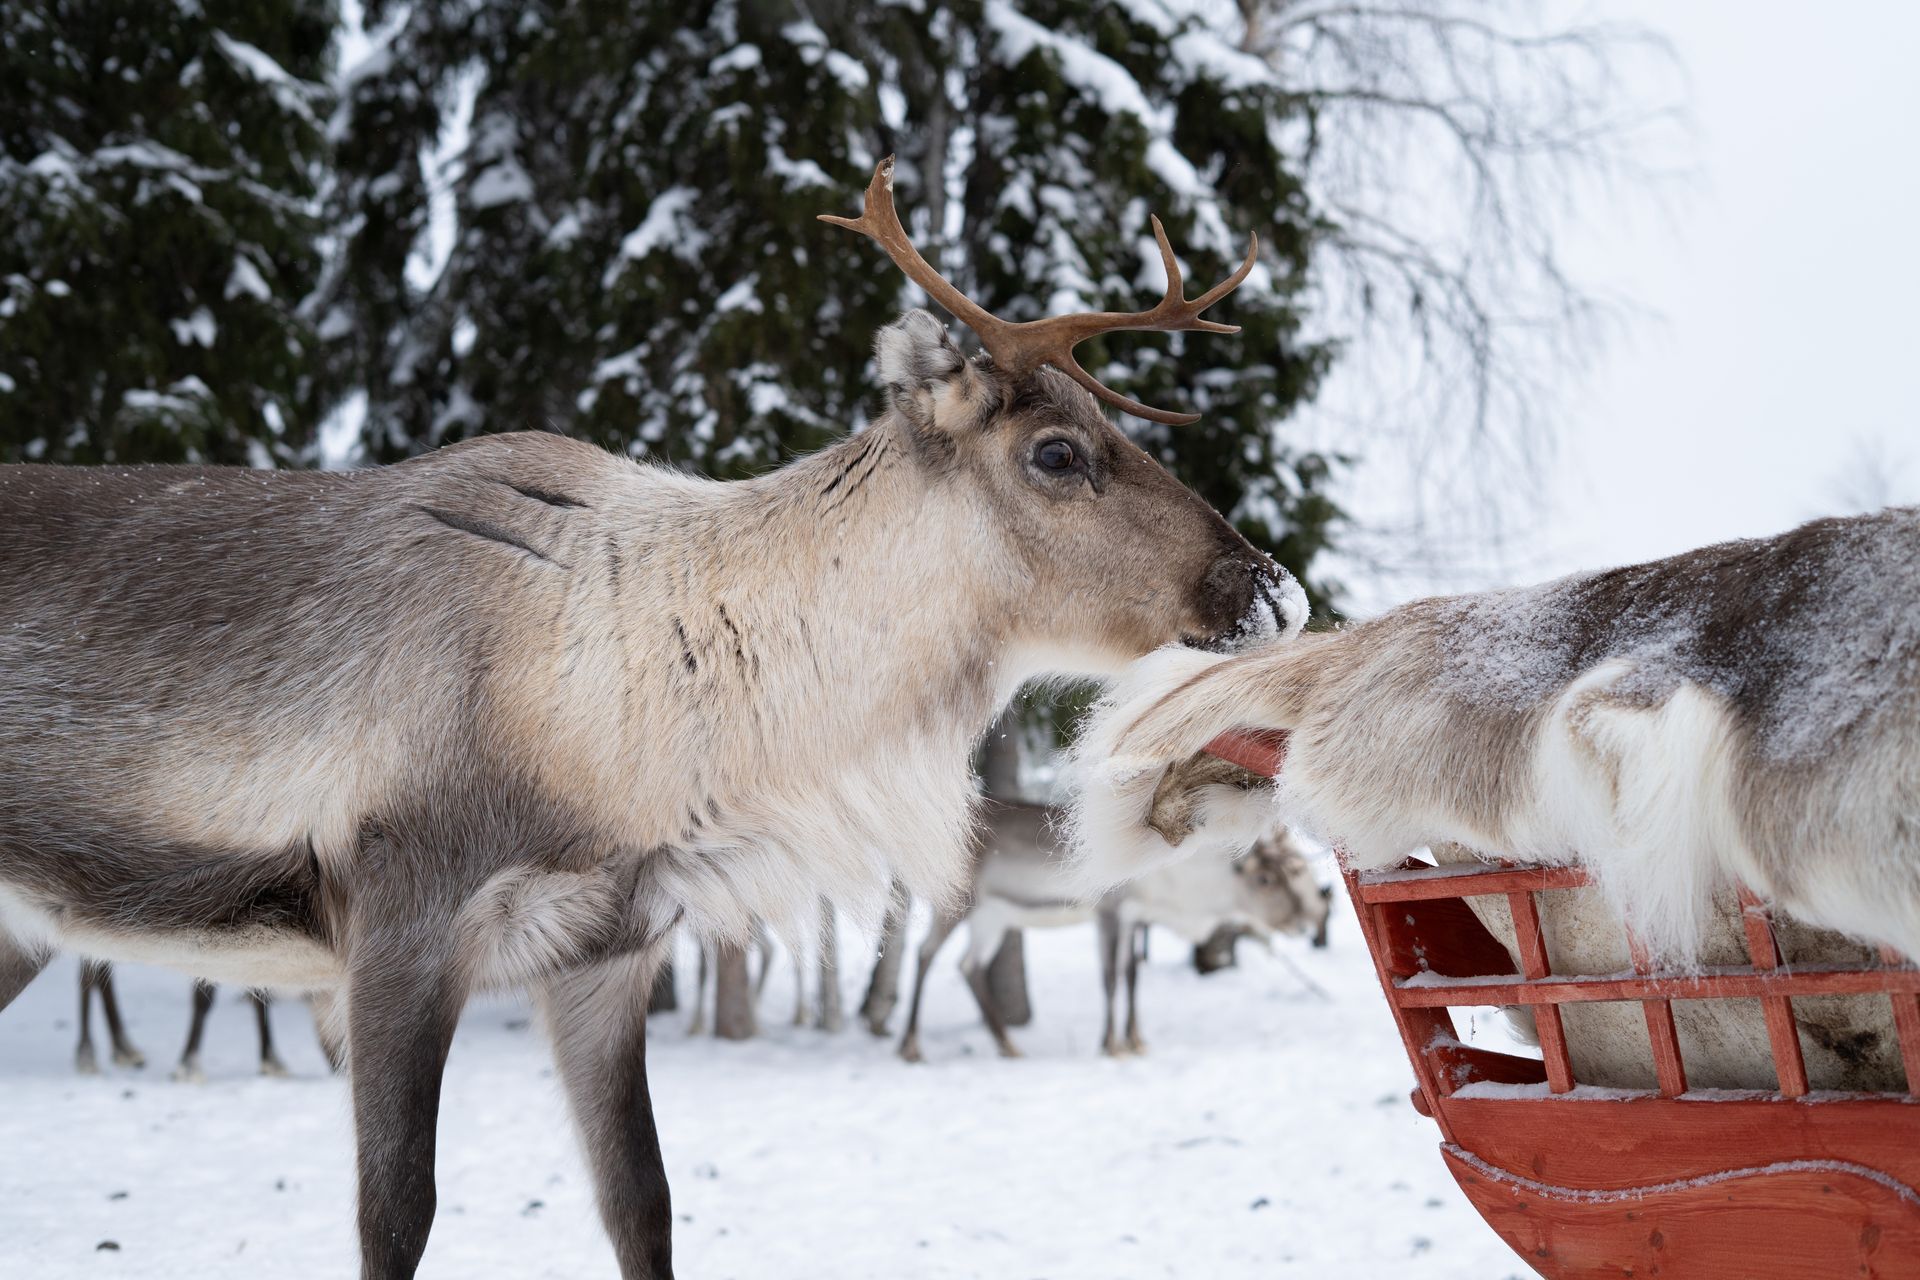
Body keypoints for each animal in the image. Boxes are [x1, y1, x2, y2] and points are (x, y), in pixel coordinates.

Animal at [896, 798, 1326, 1062]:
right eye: (1266, 879)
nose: (1306, 920)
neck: (1171, 887)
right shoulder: (1110, 911)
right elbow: (1109, 978)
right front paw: (1111, 1044)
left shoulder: (1134, 917)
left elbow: (1132, 974)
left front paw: (1137, 1041)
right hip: (958, 903)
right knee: (925, 954)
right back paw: (911, 1046)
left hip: (994, 916)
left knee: (969, 966)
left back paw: (1008, 1045)